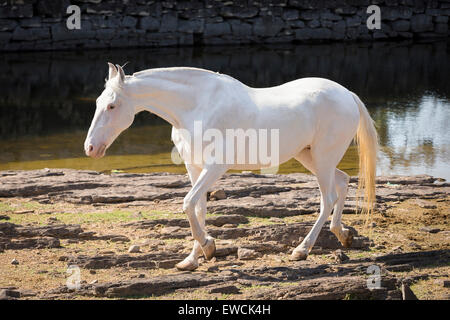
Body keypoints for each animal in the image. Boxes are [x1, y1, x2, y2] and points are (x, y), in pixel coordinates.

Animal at [83, 63, 376, 272]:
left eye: (112, 105)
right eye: (97, 103)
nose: (90, 148)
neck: (197, 107)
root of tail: (347, 94)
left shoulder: (215, 167)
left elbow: (188, 204)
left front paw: (208, 247)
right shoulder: (194, 167)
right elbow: (198, 208)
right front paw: (193, 258)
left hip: (323, 158)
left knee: (327, 198)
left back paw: (301, 250)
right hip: (311, 157)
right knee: (342, 182)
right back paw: (344, 235)